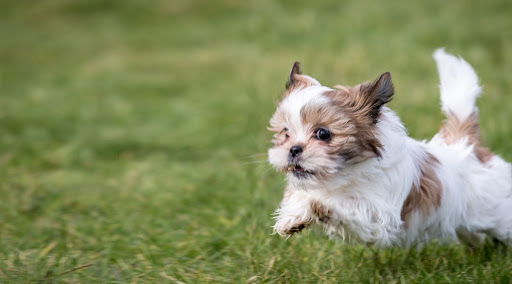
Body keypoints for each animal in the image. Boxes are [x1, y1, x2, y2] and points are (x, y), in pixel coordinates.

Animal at [268, 50, 512, 247]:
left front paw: (322, 207)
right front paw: (293, 217)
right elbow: (300, 196)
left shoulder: (380, 214)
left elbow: (354, 208)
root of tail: (466, 143)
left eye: (322, 133)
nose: (294, 149)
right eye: (286, 133)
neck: (344, 176)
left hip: (496, 210)